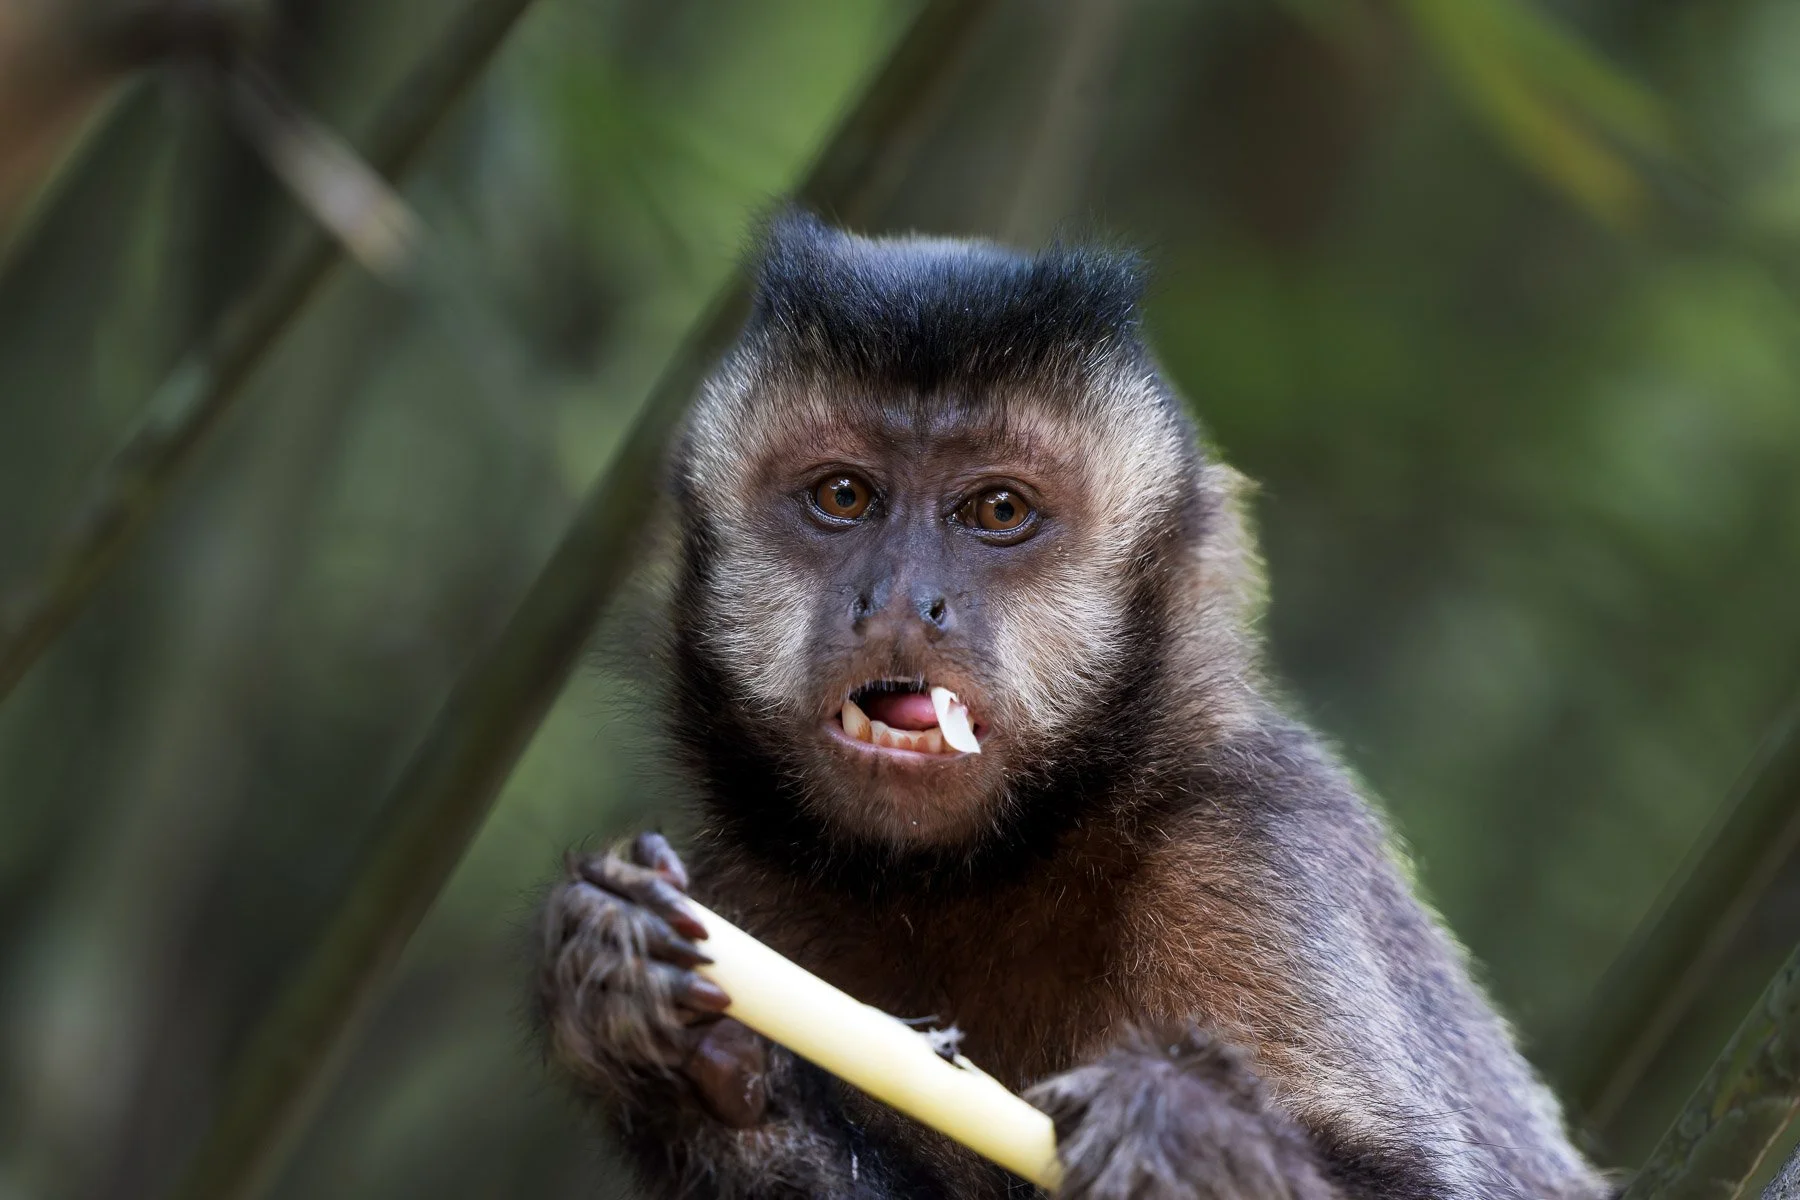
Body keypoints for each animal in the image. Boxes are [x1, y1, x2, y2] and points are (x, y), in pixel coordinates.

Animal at [536, 211, 1611, 1199]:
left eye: (998, 511)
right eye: (843, 496)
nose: (901, 599)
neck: (991, 869)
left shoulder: (1249, 841)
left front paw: (1186, 1138)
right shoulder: (740, 892)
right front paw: (678, 1046)